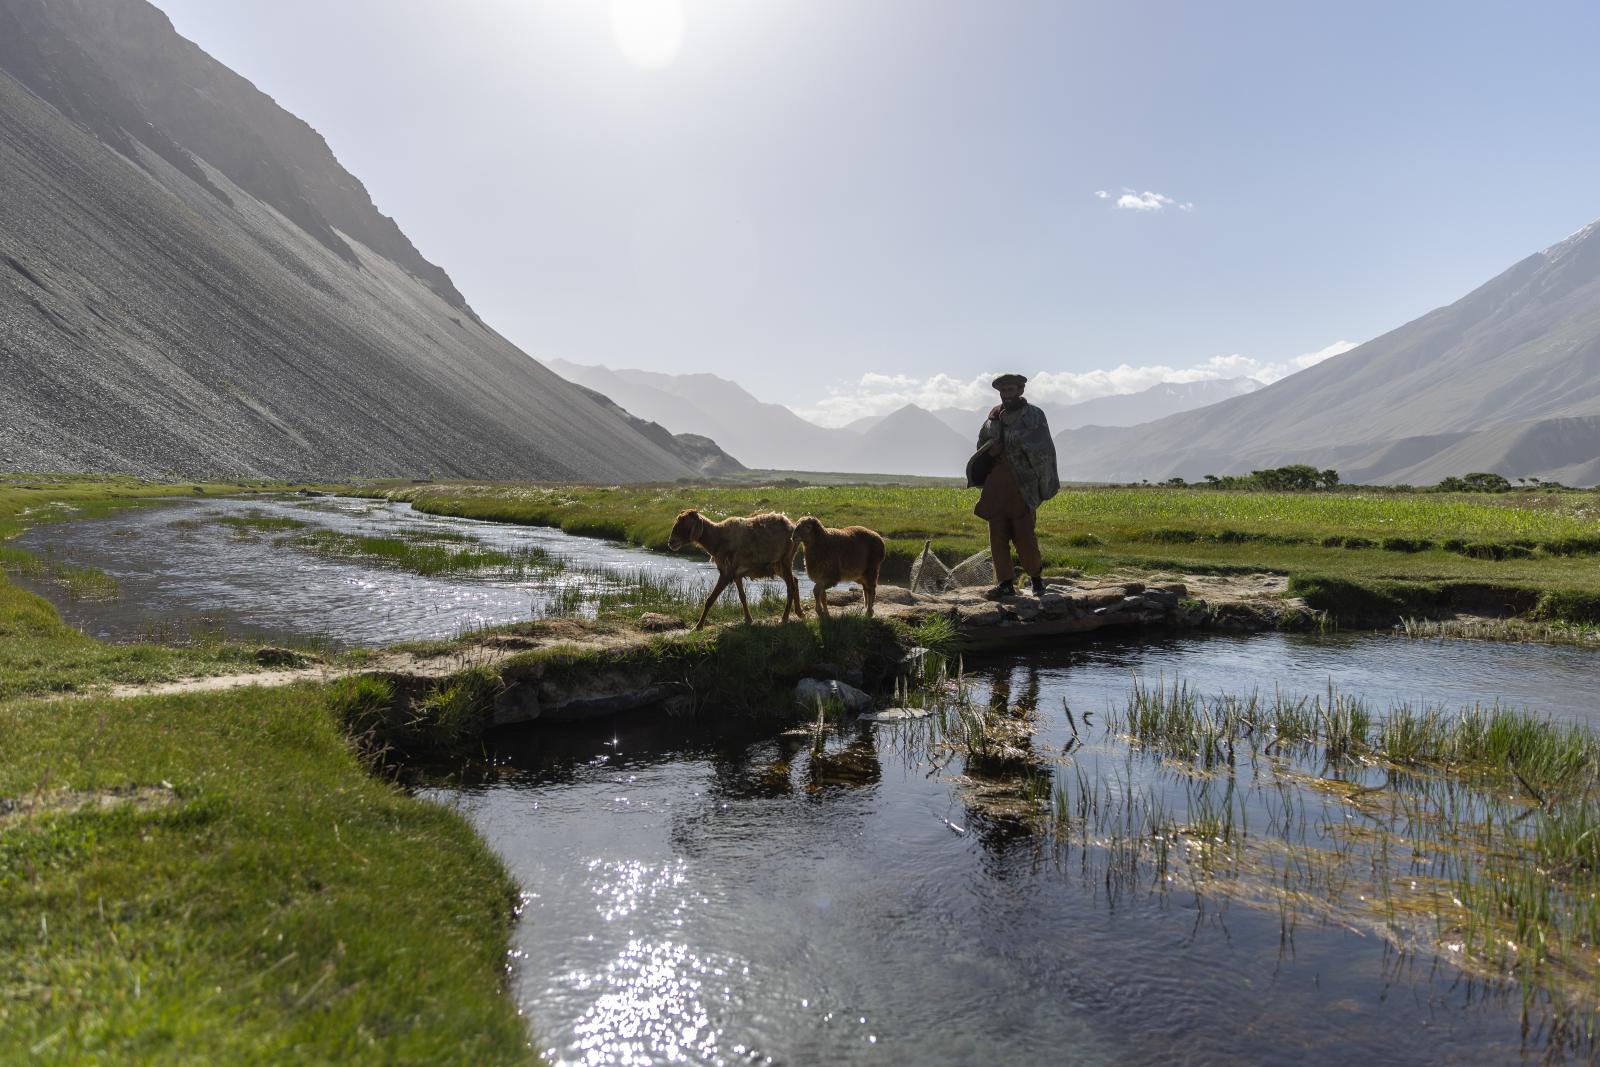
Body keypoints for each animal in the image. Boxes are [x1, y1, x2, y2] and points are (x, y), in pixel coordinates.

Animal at [668, 511, 806, 630]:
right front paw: (748, 619)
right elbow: (742, 596)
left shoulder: (726, 573)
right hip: (777, 565)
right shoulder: (736, 574)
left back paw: (785, 618)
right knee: (795, 580)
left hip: (785, 560)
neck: (716, 539)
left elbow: (710, 599)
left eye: (686, 523)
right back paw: (800, 612)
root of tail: (792, 527)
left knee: (791, 586)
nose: (671, 542)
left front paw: (698, 626)